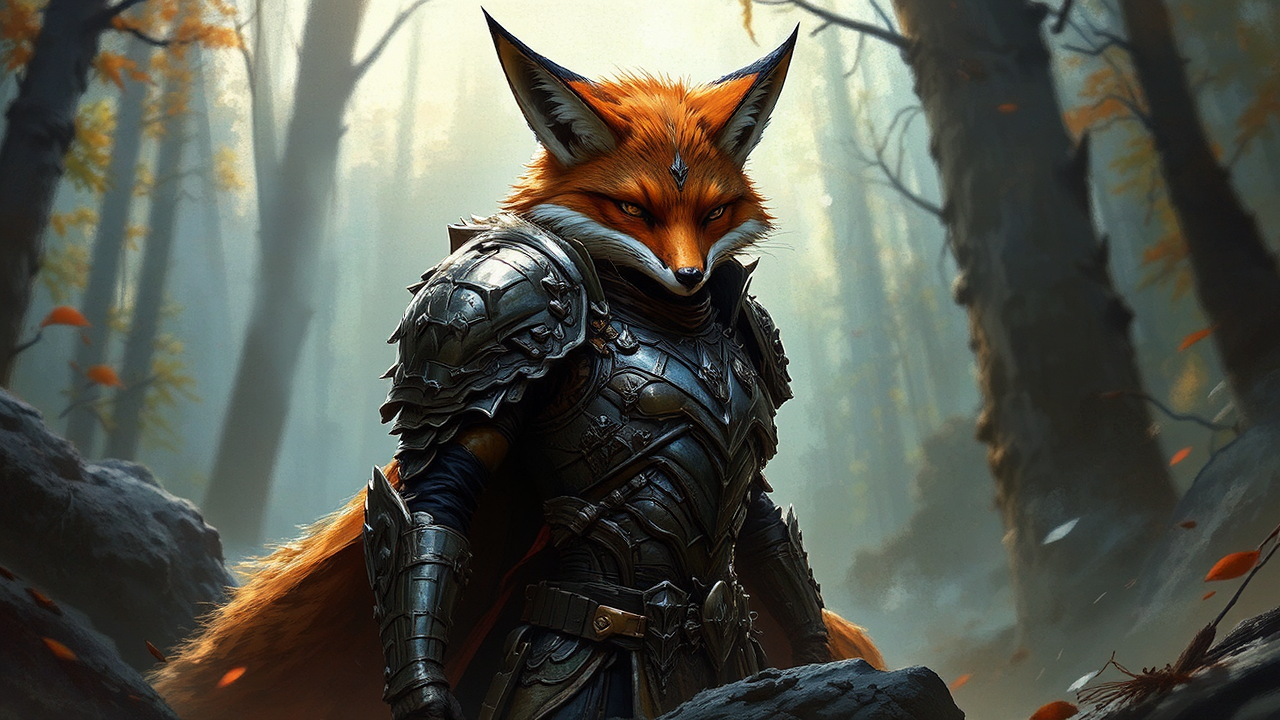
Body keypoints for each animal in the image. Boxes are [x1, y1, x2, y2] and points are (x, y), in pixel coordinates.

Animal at [151, 13, 882, 720]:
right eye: (632, 208)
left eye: (715, 211)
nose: (690, 274)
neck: (667, 309)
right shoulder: (493, 317)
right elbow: (435, 507)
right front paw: (427, 697)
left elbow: (761, 517)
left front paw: (815, 655)